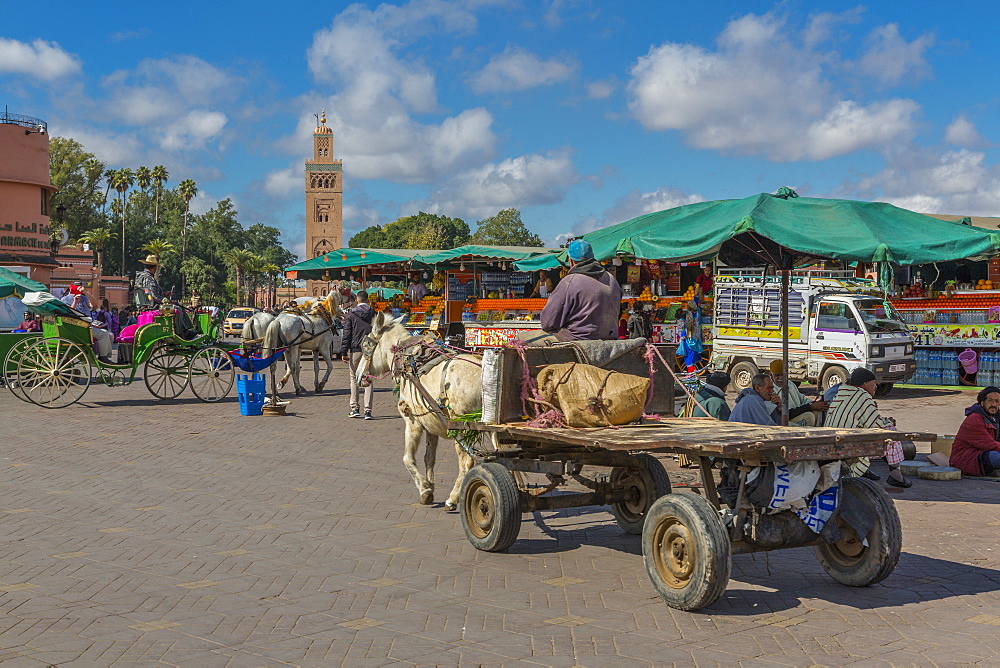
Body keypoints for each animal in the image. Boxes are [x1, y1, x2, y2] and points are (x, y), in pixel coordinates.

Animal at [358, 310, 482, 508]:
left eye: (366, 347)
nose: (358, 375)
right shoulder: (431, 424)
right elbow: (429, 458)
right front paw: (430, 487)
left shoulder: (413, 421)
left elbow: (407, 458)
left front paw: (424, 490)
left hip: (462, 427)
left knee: (467, 461)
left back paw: (453, 499)